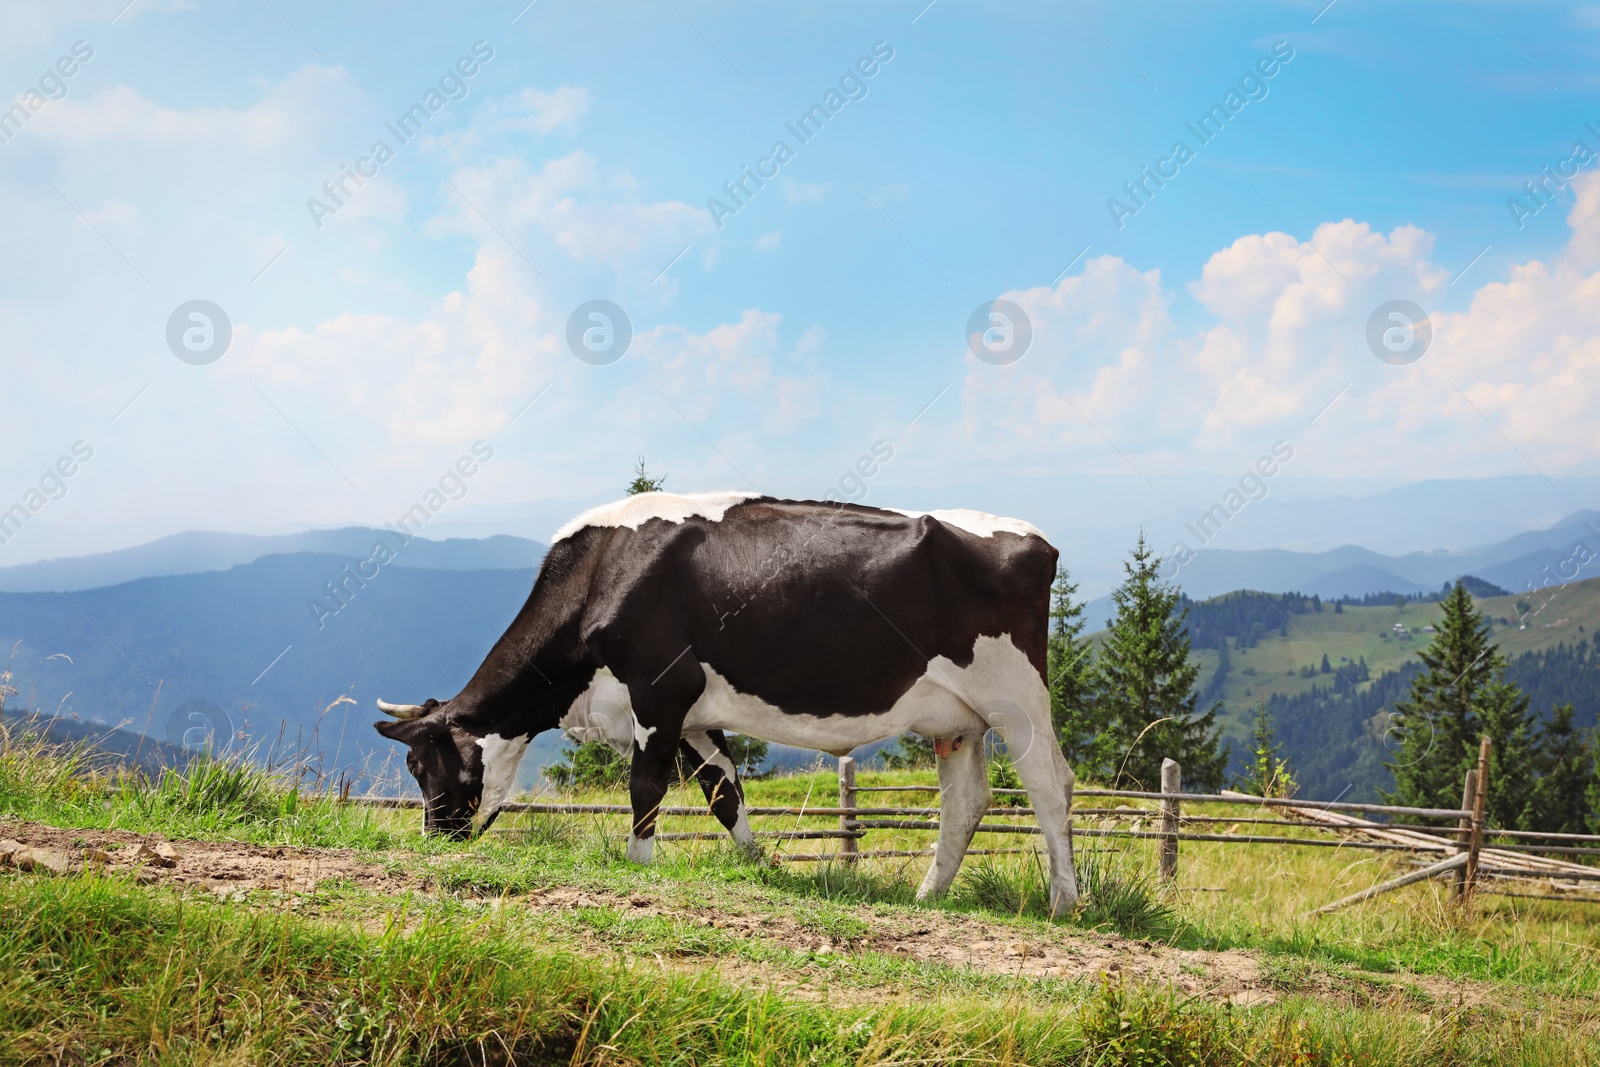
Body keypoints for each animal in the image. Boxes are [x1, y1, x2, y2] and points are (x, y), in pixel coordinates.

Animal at [374, 495, 1081, 921]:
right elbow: (723, 791)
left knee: (1051, 785)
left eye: (429, 768)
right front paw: (757, 863)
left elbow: (646, 787)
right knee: (966, 800)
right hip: (958, 721)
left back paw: (1064, 902)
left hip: (1016, 697)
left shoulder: (660, 689)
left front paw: (639, 866)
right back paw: (927, 896)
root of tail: (1037, 540)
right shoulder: (694, 713)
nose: (434, 838)